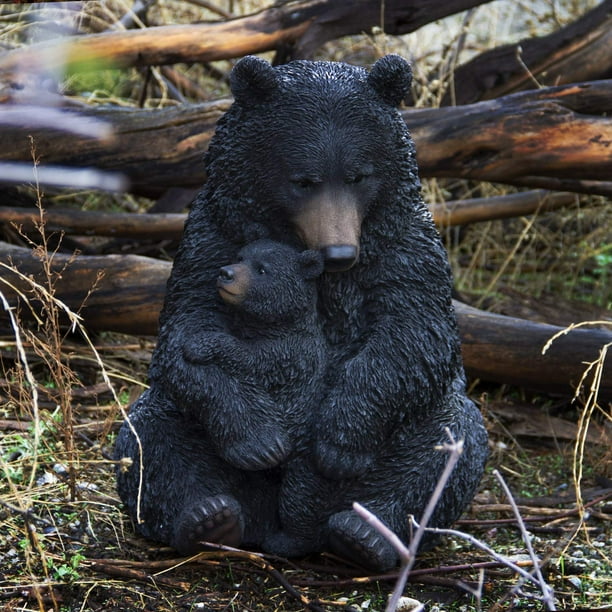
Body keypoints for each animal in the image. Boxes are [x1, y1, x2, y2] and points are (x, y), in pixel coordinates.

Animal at [115, 55, 488, 572]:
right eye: (303, 180)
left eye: (358, 175)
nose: (339, 251)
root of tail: (286, 531)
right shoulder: (210, 237)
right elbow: (186, 329)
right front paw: (258, 441)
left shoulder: (405, 245)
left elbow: (416, 332)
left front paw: (340, 445)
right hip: (205, 452)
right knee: (151, 434)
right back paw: (207, 518)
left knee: (448, 440)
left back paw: (368, 534)